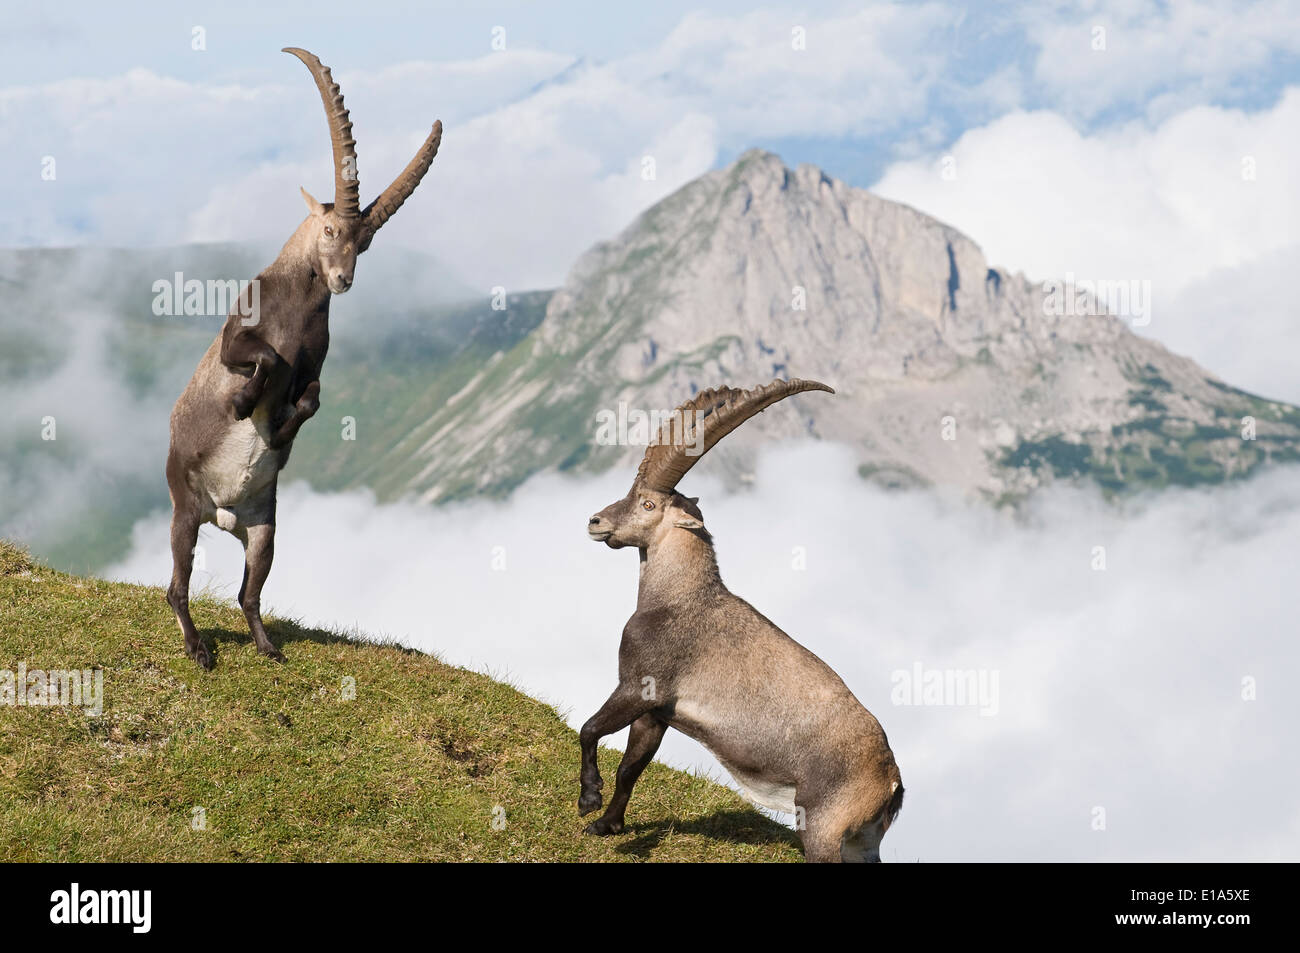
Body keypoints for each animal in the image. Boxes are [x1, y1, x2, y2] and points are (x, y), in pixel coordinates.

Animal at [165, 48, 442, 669]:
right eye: (332, 228)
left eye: (365, 242)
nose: (342, 280)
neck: (297, 307)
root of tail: (222, 515)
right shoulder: (237, 340)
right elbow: (265, 359)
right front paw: (244, 404)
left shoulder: (315, 365)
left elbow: (313, 397)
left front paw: (280, 431)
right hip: (184, 506)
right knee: (178, 586)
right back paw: (198, 649)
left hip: (264, 528)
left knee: (248, 593)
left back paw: (268, 647)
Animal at [580, 379, 904, 862]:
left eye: (649, 503)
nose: (595, 521)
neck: (679, 597)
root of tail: (891, 781)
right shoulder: (655, 713)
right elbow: (630, 768)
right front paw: (607, 825)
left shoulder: (638, 686)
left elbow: (590, 729)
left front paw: (588, 798)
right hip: (860, 840)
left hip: (822, 825)